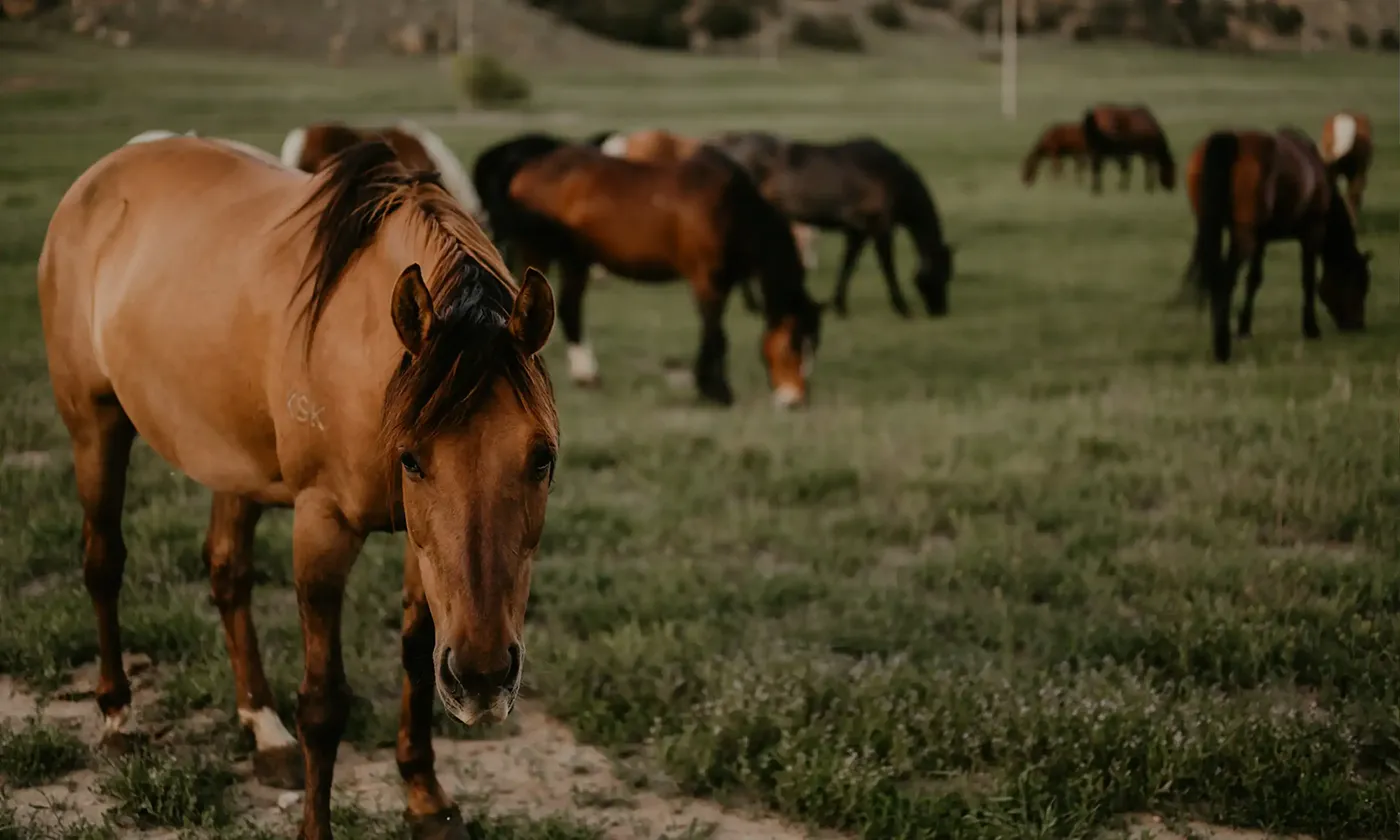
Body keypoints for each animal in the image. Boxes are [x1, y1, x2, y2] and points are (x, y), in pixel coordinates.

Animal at [39, 136, 559, 840]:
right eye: (412, 459)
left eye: (542, 459)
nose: (482, 678)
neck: (363, 354)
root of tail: (104, 172)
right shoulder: (322, 527)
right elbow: (322, 702)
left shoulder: (421, 548)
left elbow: (416, 657)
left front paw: (424, 795)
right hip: (95, 426)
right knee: (102, 563)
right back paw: (117, 715)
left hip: (233, 461)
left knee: (226, 572)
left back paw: (265, 733)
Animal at [708, 130, 954, 319]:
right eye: (944, 272)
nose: (941, 311)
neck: (890, 177)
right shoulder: (880, 227)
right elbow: (888, 267)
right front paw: (902, 308)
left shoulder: (857, 231)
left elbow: (847, 265)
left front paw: (839, 305)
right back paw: (754, 305)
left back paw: (753, 305)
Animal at [1183, 127, 1371, 363]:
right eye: (1359, 283)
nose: (1357, 325)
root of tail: (1229, 140)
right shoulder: (1312, 231)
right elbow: (1308, 279)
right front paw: (1311, 328)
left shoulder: (1261, 239)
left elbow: (1253, 280)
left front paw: (1244, 328)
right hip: (1244, 236)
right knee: (1223, 281)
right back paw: (1222, 348)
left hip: (1214, 227)